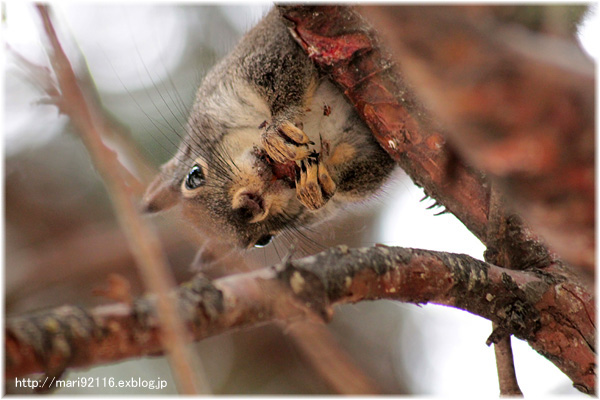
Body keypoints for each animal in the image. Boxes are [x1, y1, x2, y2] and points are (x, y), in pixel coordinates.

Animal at [141, 7, 394, 248]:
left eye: (194, 176)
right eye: (263, 240)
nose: (248, 207)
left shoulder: (259, 55)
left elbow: (280, 75)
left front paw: (277, 131)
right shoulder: (363, 144)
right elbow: (368, 172)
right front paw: (316, 187)